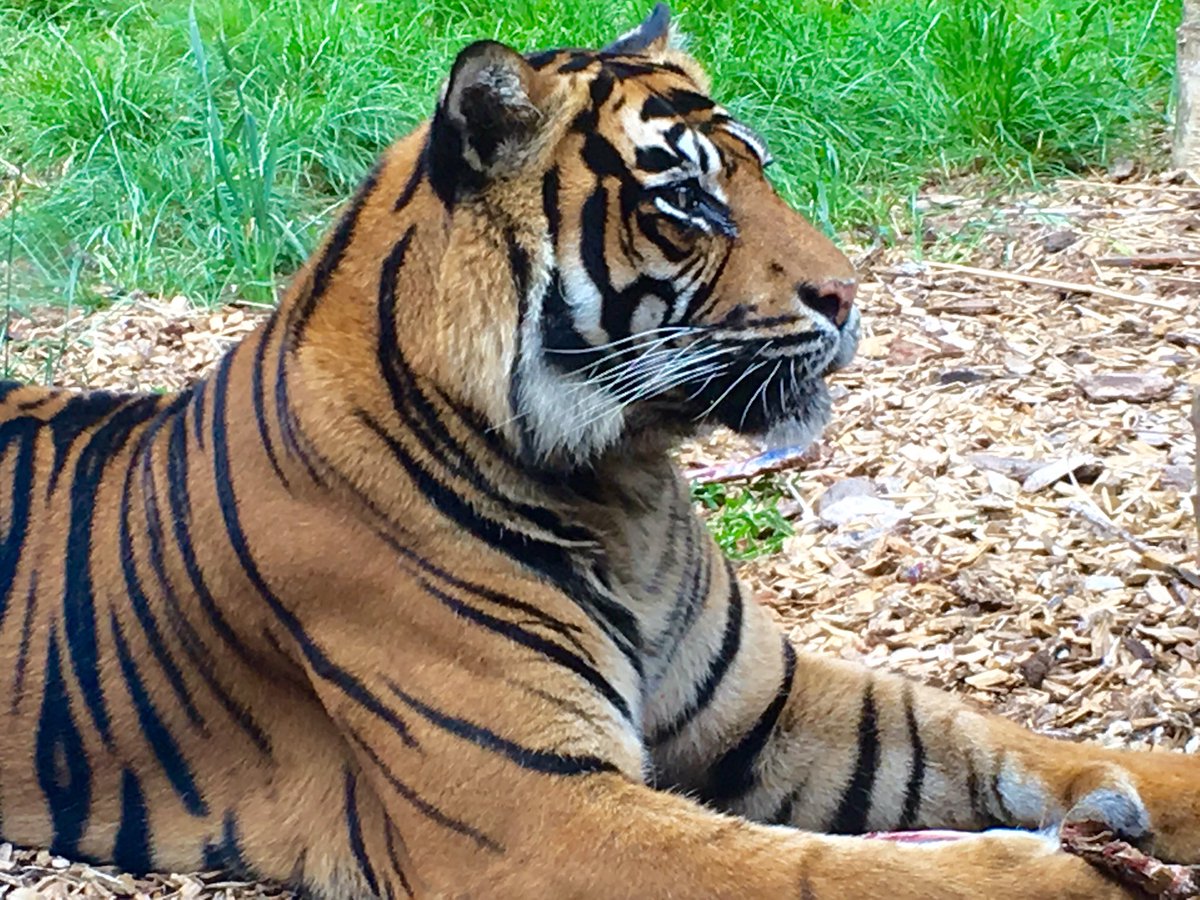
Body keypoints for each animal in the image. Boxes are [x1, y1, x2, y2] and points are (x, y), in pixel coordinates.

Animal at [0, 5, 1196, 898]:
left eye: (758, 171)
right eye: (688, 198)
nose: (851, 293)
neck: (621, 483)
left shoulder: (765, 708)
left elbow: (984, 735)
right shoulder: (539, 815)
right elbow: (835, 875)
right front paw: (1088, 875)